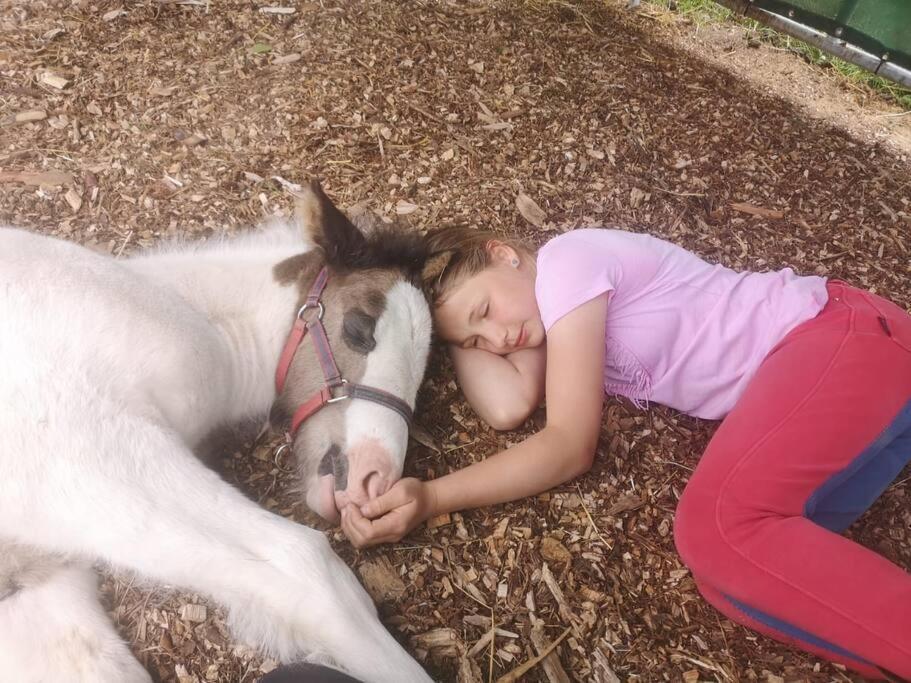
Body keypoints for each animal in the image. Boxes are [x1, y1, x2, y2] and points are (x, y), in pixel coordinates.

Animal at [0, 182, 434, 683]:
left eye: (425, 379)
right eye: (359, 329)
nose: (374, 479)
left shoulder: (37, 580)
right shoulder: (88, 451)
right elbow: (304, 563)